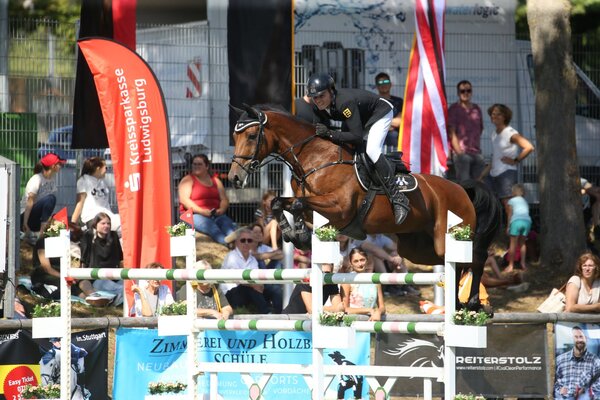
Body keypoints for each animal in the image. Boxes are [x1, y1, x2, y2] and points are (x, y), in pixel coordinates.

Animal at [228, 104, 501, 310]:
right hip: (419, 248)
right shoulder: (314, 208)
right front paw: (295, 235)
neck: (314, 158)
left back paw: (473, 303)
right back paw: (465, 302)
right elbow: (281, 203)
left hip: (449, 236)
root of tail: (461, 189)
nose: (234, 178)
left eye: (251, 136)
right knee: (459, 264)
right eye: (234, 137)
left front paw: (300, 235)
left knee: (475, 258)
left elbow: (296, 203)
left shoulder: (339, 208)